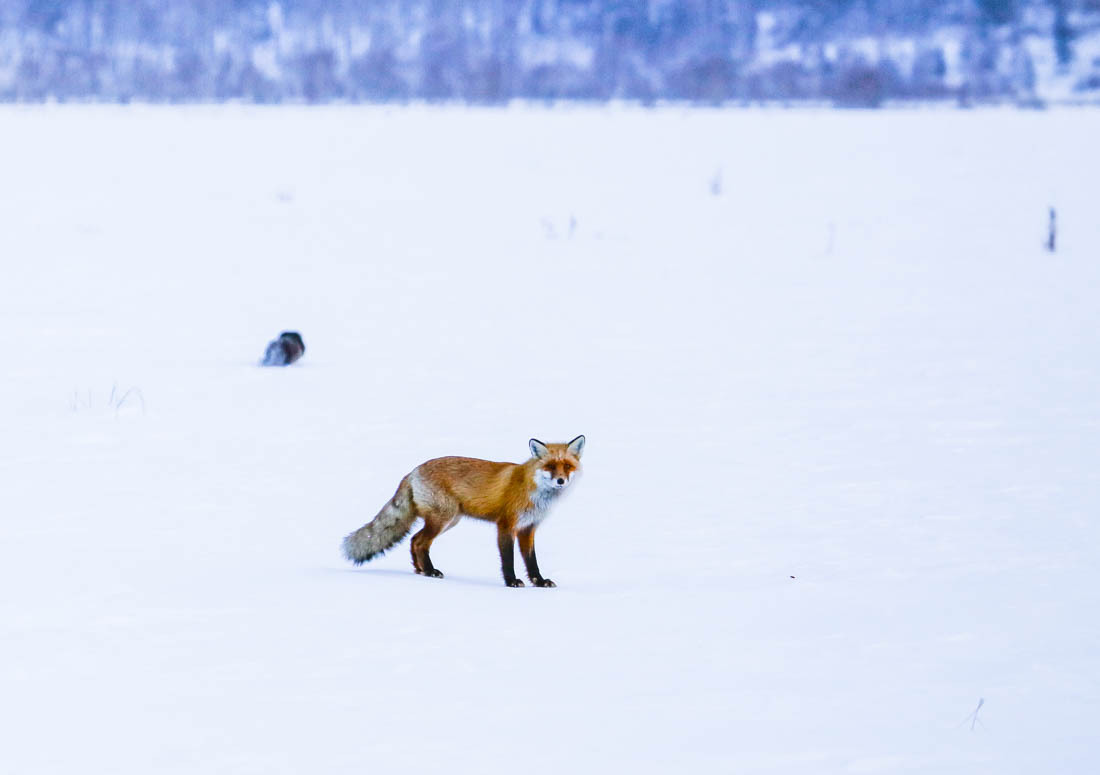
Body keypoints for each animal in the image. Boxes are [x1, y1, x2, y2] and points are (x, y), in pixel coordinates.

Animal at [341, 435, 585, 584]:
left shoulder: (528, 528)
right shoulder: (506, 525)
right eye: (550, 466)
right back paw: (430, 571)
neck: (533, 491)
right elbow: (508, 559)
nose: (561, 481)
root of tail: (412, 471)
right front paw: (511, 582)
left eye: (567, 466)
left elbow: (531, 561)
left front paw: (539, 582)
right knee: (419, 542)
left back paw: (421, 571)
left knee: (414, 540)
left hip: (450, 521)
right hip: (443, 519)